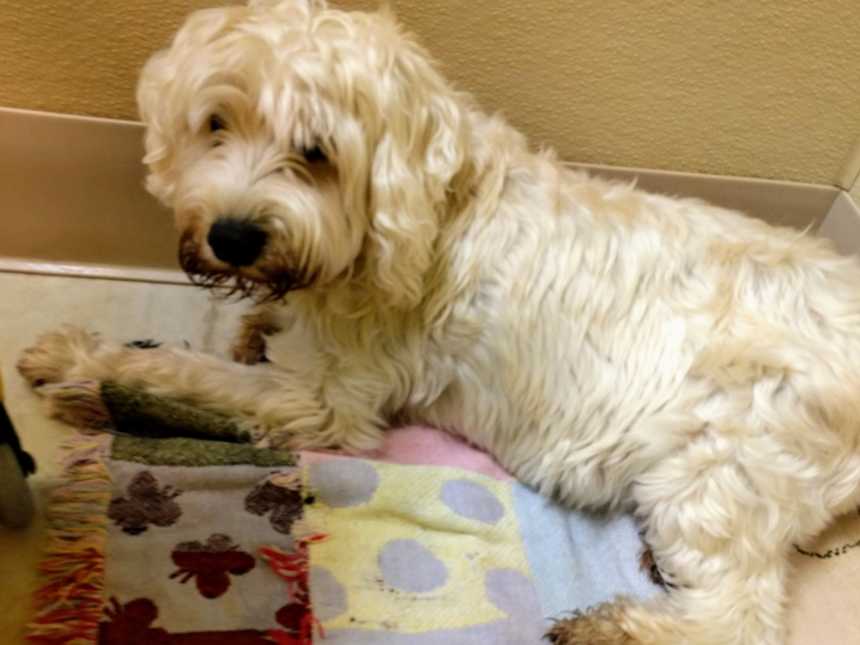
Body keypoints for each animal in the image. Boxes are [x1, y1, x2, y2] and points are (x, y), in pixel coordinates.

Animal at [16, 1, 860, 644]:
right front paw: (254, 325)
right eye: (215, 123)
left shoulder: (329, 400)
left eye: (315, 151)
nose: (231, 236)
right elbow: (251, 335)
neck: (424, 214)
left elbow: (186, 370)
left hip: (716, 474)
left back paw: (613, 625)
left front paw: (81, 360)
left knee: (737, 618)